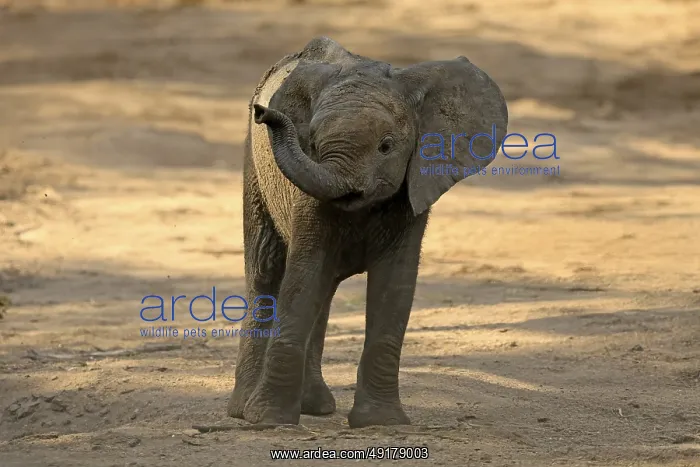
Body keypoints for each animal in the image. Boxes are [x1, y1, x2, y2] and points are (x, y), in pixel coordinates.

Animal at [227, 36, 508, 428]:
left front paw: (382, 422)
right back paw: (243, 410)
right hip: (253, 172)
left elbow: (395, 283)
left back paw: (315, 407)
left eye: (386, 146)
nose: (261, 112)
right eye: (312, 143)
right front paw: (269, 420)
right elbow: (303, 275)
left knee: (324, 289)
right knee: (265, 272)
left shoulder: (413, 189)